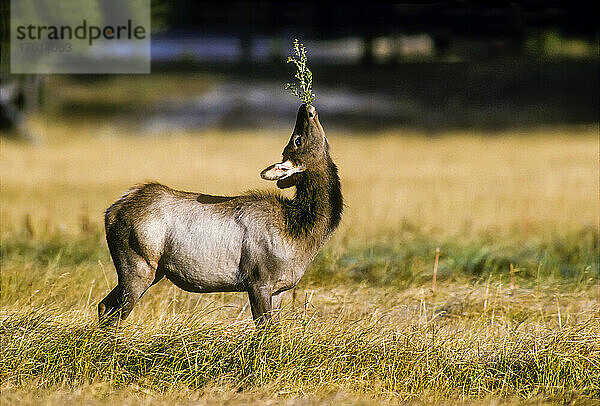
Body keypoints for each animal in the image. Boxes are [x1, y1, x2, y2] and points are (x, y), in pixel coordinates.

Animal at [99, 104, 342, 326]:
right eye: (297, 140)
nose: (306, 107)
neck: (299, 232)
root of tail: (112, 211)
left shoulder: (280, 288)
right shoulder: (258, 280)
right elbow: (264, 330)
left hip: (153, 271)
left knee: (104, 306)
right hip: (138, 265)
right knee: (114, 313)